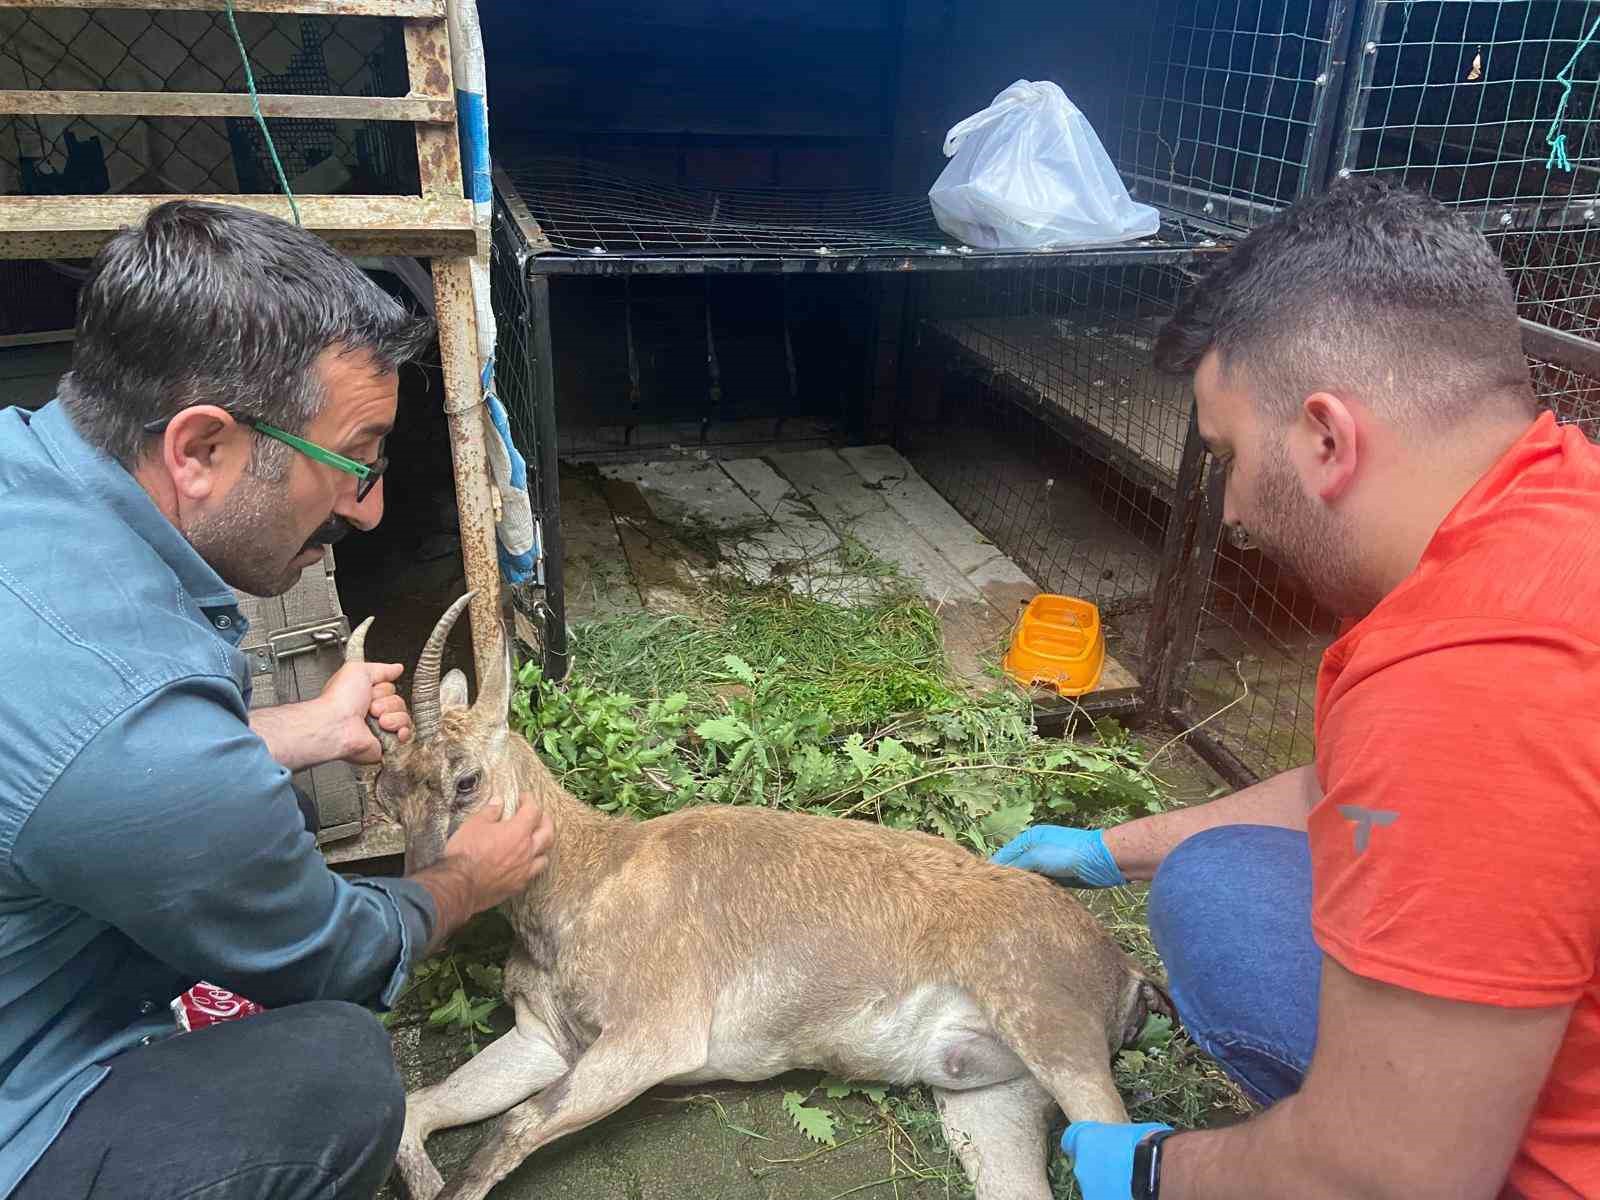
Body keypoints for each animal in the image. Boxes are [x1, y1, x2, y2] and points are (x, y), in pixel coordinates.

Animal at [353, 598, 1177, 1200]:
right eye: (388, 789)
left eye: (466, 780)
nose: (424, 901)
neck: (595, 877)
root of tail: (1125, 973)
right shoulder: (545, 1040)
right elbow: (421, 1108)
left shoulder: (652, 1037)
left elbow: (513, 1130)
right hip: (990, 1094)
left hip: (1055, 1035)